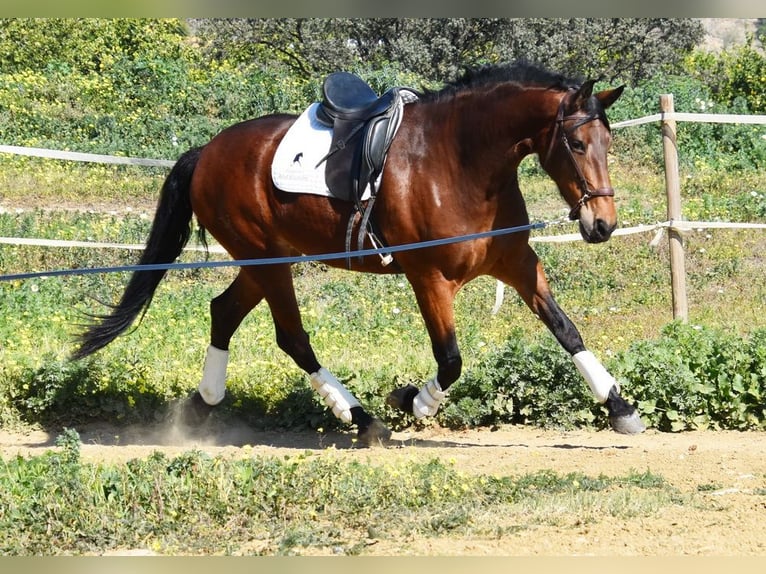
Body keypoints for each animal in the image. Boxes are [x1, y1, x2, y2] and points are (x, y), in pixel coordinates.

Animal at [73, 60, 648, 444]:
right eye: (577, 145)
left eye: (609, 144)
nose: (602, 225)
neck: (460, 162)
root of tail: (207, 151)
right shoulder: (429, 278)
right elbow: (451, 360)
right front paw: (412, 400)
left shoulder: (517, 265)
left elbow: (566, 330)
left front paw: (620, 408)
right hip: (267, 261)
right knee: (291, 337)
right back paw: (361, 417)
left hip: (266, 261)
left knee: (224, 312)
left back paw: (202, 405)